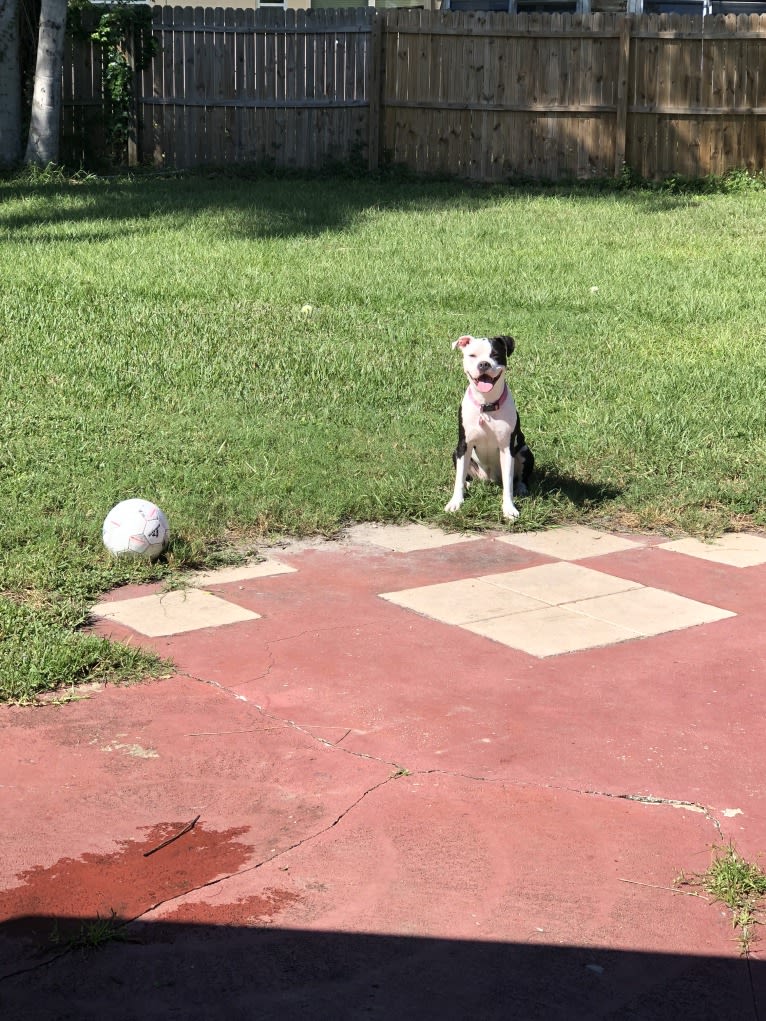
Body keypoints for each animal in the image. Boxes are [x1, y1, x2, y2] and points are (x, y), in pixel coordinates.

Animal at [443, 336, 535, 518]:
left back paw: (521, 488)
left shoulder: (507, 449)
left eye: (495, 355)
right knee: (464, 475)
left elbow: (508, 484)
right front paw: (455, 502)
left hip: (525, 451)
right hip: (456, 454)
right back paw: (468, 484)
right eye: (472, 355)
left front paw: (509, 508)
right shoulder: (463, 445)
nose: (484, 364)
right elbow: (458, 479)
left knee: (520, 477)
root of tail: (489, 479)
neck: (486, 405)